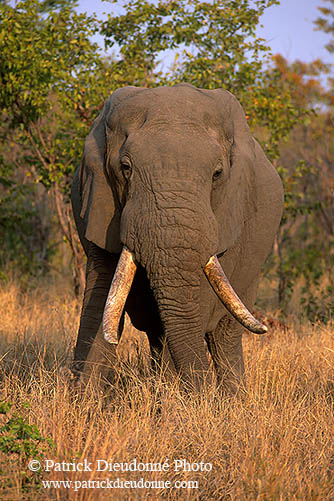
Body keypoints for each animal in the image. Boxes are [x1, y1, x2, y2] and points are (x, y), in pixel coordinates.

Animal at [70, 84, 284, 392]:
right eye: (125, 168)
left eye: (217, 174)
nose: (202, 396)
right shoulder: (98, 203)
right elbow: (102, 298)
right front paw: (84, 400)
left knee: (224, 336)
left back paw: (231, 399)